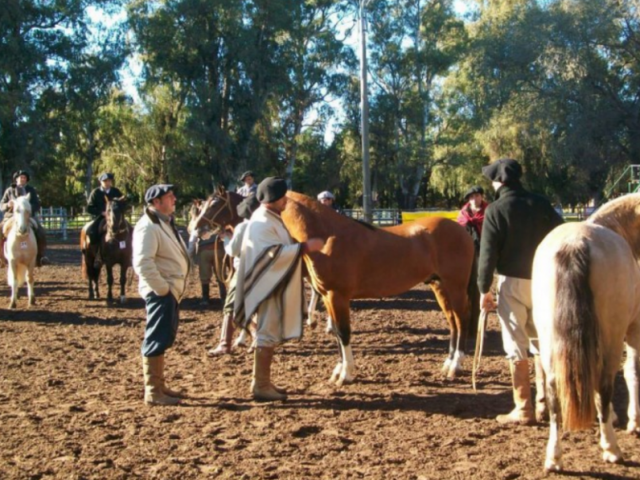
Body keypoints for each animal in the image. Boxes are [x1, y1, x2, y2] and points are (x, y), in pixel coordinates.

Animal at [200, 187, 480, 382]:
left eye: (214, 203)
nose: (199, 228)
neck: (326, 236)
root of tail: (462, 231)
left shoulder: (338, 296)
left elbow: (344, 332)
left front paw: (346, 374)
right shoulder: (326, 296)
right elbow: (336, 331)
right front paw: (338, 369)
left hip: (454, 287)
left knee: (462, 319)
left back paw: (455, 366)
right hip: (439, 287)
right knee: (453, 321)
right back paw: (448, 363)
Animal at [528, 193, 640, 470]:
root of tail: (574, 243)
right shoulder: (634, 329)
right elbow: (632, 372)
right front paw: (634, 421)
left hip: (549, 340)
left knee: (554, 392)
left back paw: (554, 456)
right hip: (612, 338)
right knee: (605, 384)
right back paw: (611, 448)